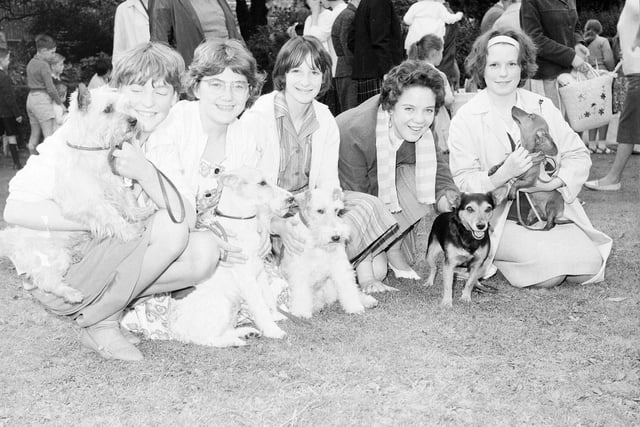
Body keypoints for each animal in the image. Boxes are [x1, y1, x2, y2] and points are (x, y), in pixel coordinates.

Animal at [0, 84, 152, 304]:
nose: (134, 121)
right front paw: (131, 231)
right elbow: (111, 215)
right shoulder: (89, 199)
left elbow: (125, 199)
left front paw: (139, 213)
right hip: (53, 256)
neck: (90, 146)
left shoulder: (110, 181)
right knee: (46, 281)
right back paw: (71, 294)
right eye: (108, 109)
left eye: (127, 105)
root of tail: (11, 241)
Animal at [169, 167, 296, 348]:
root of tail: (174, 332)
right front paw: (273, 330)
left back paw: (247, 332)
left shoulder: (260, 273)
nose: (291, 198)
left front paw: (276, 316)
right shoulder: (248, 280)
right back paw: (236, 341)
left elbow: (269, 299)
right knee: (208, 339)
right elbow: (261, 307)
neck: (244, 222)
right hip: (222, 303)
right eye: (262, 183)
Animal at [282, 189, 378, 320]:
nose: (336, 237)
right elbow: (301, 293)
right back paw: (316, 307)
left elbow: (349, 288)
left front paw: (355, 307)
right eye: (320, 211)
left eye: (337, 210)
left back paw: (368, 301)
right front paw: (301, 313)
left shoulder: (340, 265)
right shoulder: (300, 270)